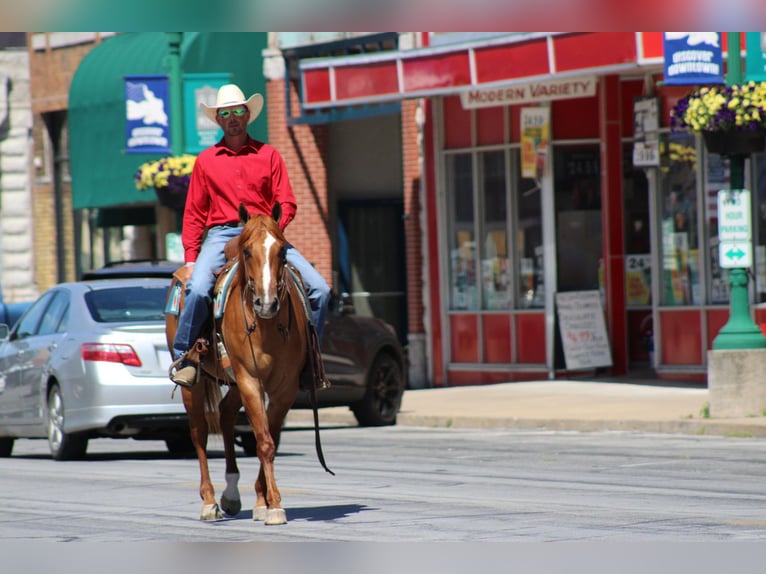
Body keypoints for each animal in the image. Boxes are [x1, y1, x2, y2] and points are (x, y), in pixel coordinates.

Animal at [166, 204, 332, 528]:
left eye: (282, 250)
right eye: (246, 251)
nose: (265, 304)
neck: (266, 326)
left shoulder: (284, 389)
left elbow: (269, 439)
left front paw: (263, 502)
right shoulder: (250, 380)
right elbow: (264, 441)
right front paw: (275, 506)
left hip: (233, 384)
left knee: (227, 414)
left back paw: (232, 494)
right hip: (196, 385)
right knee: (199, 432)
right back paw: (209, 501)